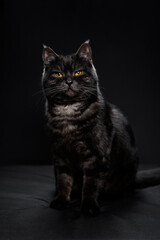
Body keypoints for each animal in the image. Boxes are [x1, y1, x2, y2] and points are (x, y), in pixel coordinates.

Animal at [41, 40, 160, 215]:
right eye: (58, 74)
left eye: (78, 73)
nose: (68, 81)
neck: (69, 112)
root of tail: (134, 178)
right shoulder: (60, 155)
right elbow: (64, 181)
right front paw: (61, 201)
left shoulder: (97, 156)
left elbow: (91, 184)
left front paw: (89, 207)